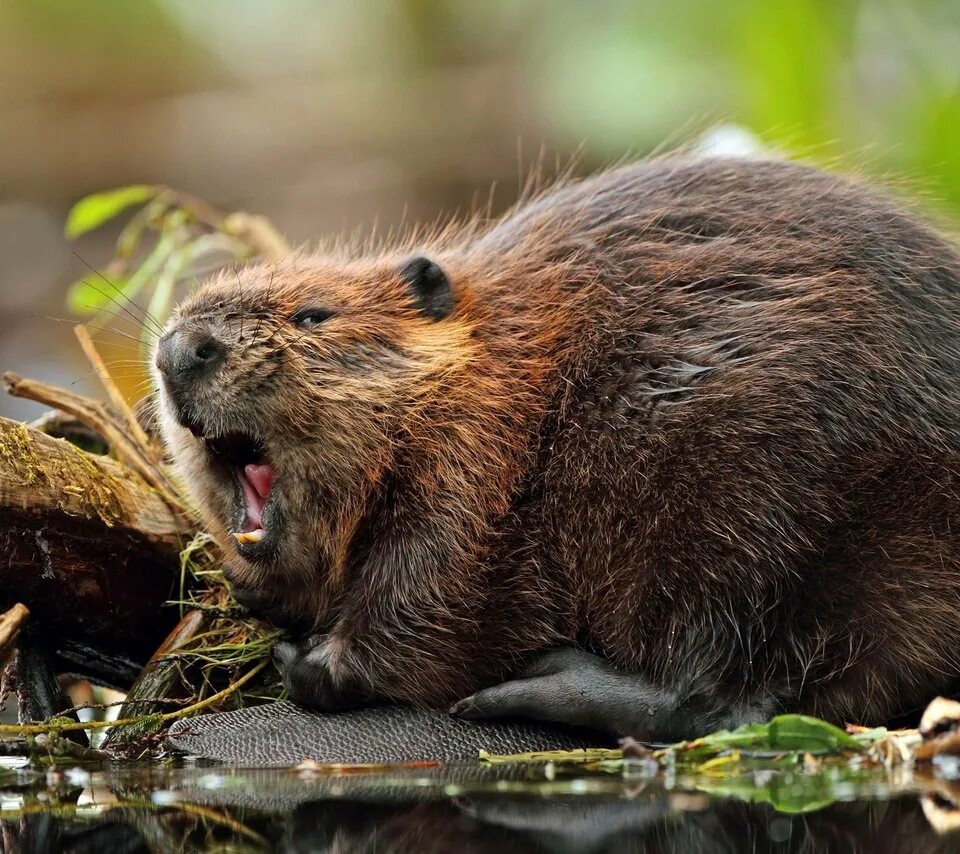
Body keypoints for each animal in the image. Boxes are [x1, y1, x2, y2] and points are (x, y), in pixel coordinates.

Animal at [154, 155, 956, 744]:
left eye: (313, 315)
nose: (178, 348)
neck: (497, 363)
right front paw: (255, 592)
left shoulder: (473, 465)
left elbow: (428, 595)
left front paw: (311, 660)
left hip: (752, 504)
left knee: (727, 700)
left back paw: (540, 682)